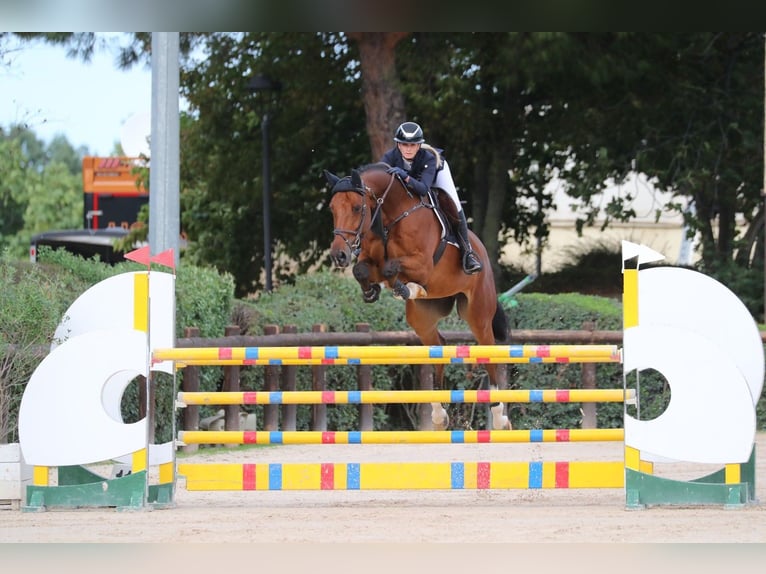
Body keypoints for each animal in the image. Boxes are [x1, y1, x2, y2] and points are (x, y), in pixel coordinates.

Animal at [324, 162, 510, 432]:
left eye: (357, 208)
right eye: (332, 208)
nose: (339, 255)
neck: (389, 216)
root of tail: (481, 251)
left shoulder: (423, 265)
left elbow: (390, 267)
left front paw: (402, 288)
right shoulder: (370, 259)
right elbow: (364, 269)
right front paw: (374, 291)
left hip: (478, 314)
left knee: (489, 352)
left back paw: (499, 416)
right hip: (422, 317)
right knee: (439, 346)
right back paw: (439, 414)